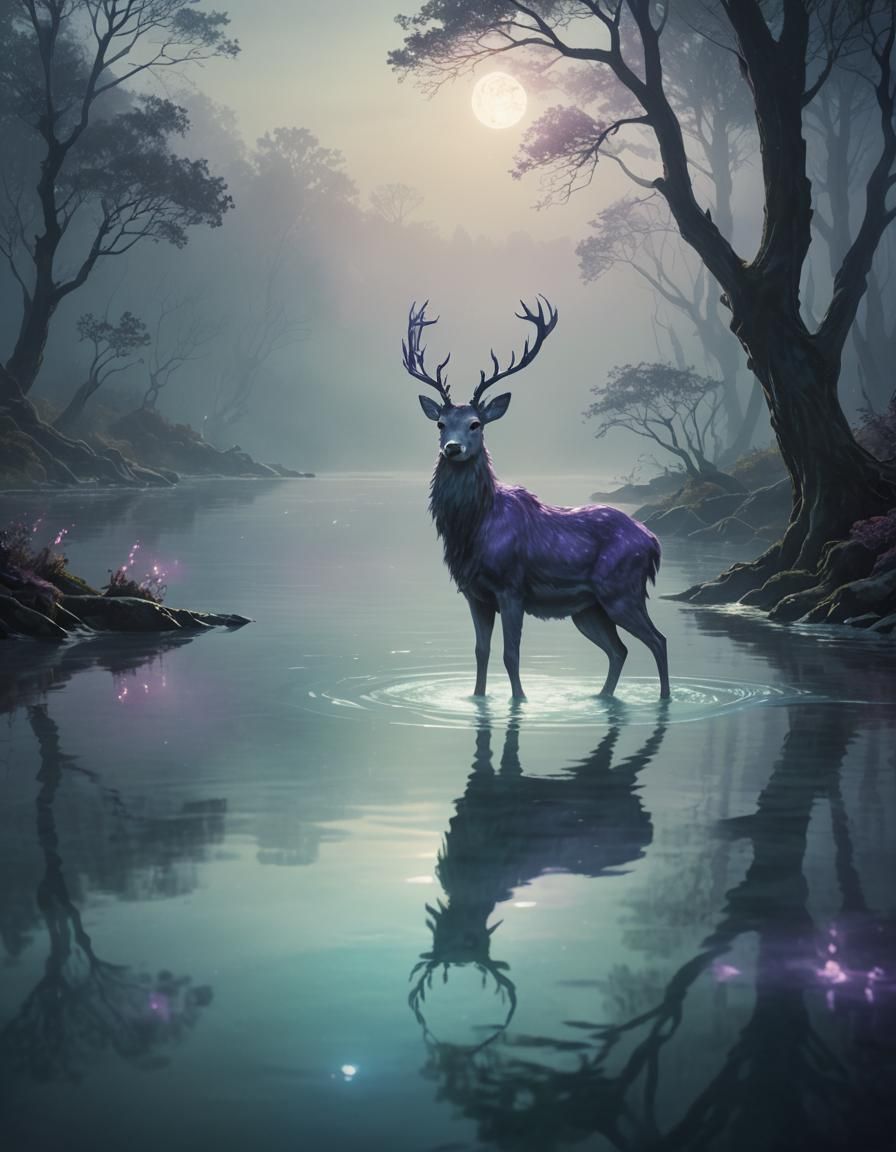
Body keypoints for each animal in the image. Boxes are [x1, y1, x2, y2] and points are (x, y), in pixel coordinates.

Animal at [403, 297, 670, 701]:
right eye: (440, 424)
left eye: (476, 424)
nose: (452, 448)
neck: (472, 529)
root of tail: (653, 542)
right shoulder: (474, 593)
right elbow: (481, 651)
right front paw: (478, 699)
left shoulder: (511, 586)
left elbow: (510, 654)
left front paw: (521, 700)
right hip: (588, 609)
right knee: (619, 650)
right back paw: (601, 698)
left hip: (622, 589)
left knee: (658, 640)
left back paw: (664, 699)